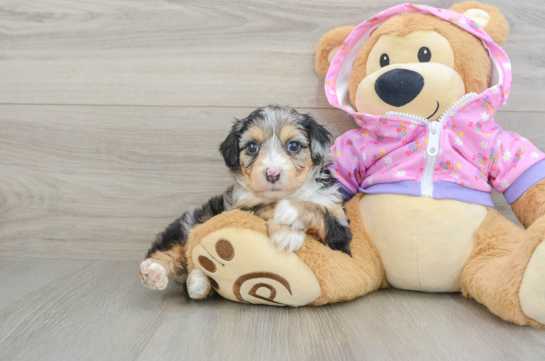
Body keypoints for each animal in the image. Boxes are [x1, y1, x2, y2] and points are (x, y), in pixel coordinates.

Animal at [140, 105, 350, 300]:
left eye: (293, 145)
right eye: (252, 147)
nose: (272, 173)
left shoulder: (340, 232)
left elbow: (319, 210)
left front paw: (290, 214)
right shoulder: (241, 207)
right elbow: (265, 206)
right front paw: (288, 232)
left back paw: (198, 281)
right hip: (191, 220)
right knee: (172, 246)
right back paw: (154, 272)